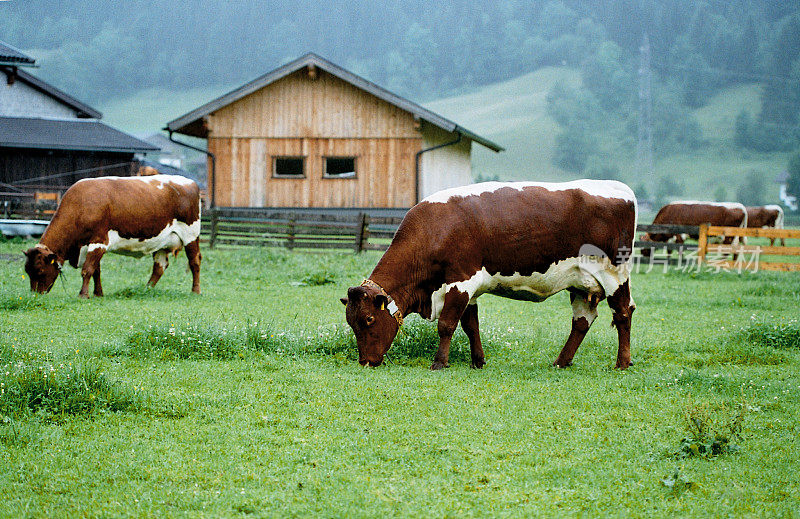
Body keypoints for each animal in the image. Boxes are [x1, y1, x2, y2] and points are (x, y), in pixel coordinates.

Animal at [24, 175, 203, 298]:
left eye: (40, 270)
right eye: (27, 270)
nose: (34, 296)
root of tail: (190, 182)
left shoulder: (98, 241)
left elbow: (87, 270)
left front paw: (83, 294)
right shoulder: (94, 246)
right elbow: (96, 271)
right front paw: (98, 293)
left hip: (191, 235)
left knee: (194, 261)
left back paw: (195, 291)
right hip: (163, 242)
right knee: (159, 266)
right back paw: (146, 289)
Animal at [340, 181, 636, 372]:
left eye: (369, 319)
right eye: (351, 322)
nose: (366, 361)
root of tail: (620, 189)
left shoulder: (460, 281)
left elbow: (446, 324)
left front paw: (439, 362)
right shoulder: (468, 290)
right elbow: (471, 325)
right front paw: (478, 361)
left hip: (614, 274)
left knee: (623, 313)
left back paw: (621, 363)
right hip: (581, 282)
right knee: (582, 321)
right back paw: (561, 362)